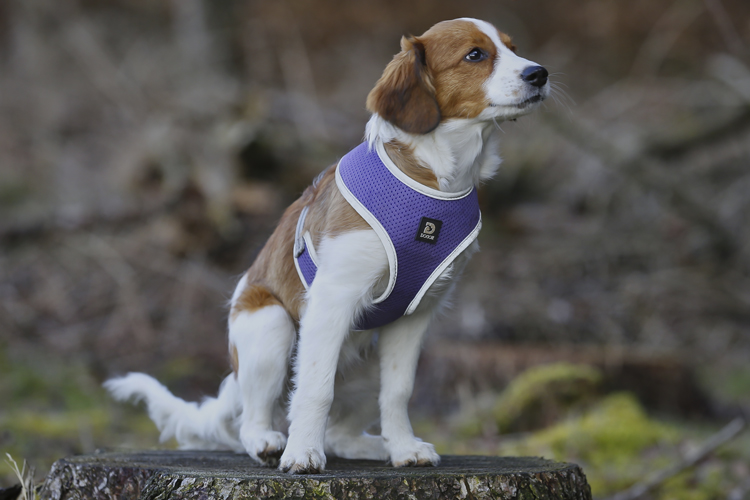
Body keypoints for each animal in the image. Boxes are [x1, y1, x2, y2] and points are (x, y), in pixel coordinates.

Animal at [106, 17, 548, 474]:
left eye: (513, 48)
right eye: (475, 54)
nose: (540, 74)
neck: (433, 182)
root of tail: (232, 381)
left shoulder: (415, 315)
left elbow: (398, 391)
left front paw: (404, 448)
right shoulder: (332, 299)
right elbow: (315, 388)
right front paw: (302, 453)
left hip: (365, 361)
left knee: (340, 432)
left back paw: (375, 447)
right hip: (270, 325)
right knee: (252, 419)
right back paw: (269, 441)